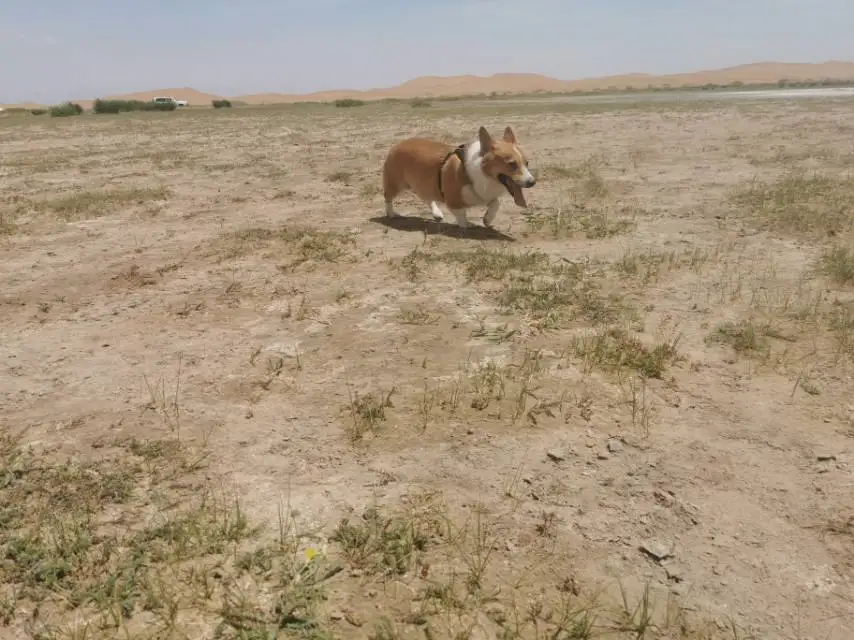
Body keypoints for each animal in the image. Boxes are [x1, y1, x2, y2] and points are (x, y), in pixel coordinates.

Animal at [382, 124, 536, 228]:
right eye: (512, 164)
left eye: (527, 163)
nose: (532, 182)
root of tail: (398, 144)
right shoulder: (453, 200)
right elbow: (461, 214)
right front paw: (466, 225)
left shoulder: (484, 195)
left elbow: (496, 203)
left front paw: (487, 220)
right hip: (396, 184)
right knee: (388, 198)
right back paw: (392, 214)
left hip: (423, 183)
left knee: (427, 198)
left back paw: (437, 213)